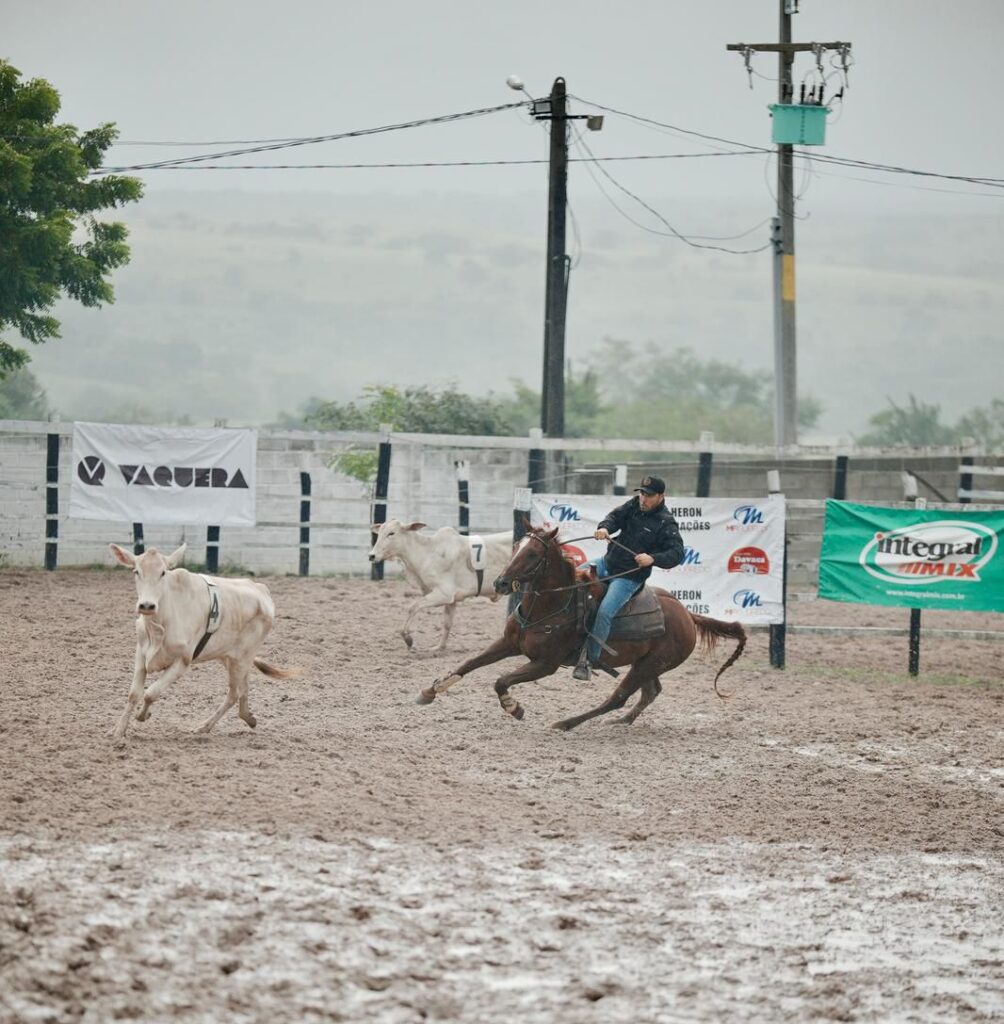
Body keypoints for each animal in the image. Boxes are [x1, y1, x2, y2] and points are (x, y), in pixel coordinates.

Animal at [110, 544, 297, 745]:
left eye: (163, 573)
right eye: (136, 571)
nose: (147, 605)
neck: (160, 624)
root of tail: (261, 588)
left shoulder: (182, 662)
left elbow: (150, 693)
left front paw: (142, 716)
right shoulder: (141, 653)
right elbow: (134, 694)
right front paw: (118, 731)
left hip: (242, 658)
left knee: (233, 693)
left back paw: (204, 727)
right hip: (229, 657)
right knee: (243, 689)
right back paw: (248, 718)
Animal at [366, 520, 510, 655]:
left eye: (391, 533)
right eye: (379, 533)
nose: (372, 555)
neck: (428, 554)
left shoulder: (443, 594)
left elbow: (413, 607)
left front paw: (408, 639)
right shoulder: (452, 601)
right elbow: (447, 624)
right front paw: (439, 647)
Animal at [415, 524, 745, 733]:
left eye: (533, 554)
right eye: (516, 547)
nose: (500, 583)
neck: (550, 605)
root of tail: (688, 615)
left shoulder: (545, 664)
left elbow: (501, 680)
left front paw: (514, 707)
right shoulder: (508, 642)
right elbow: (470, 663)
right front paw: (430, 690)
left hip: (651, 663)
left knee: (618, 698)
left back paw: (567, 723)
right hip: (647, 664)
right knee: (649, 693)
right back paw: (621, 723)